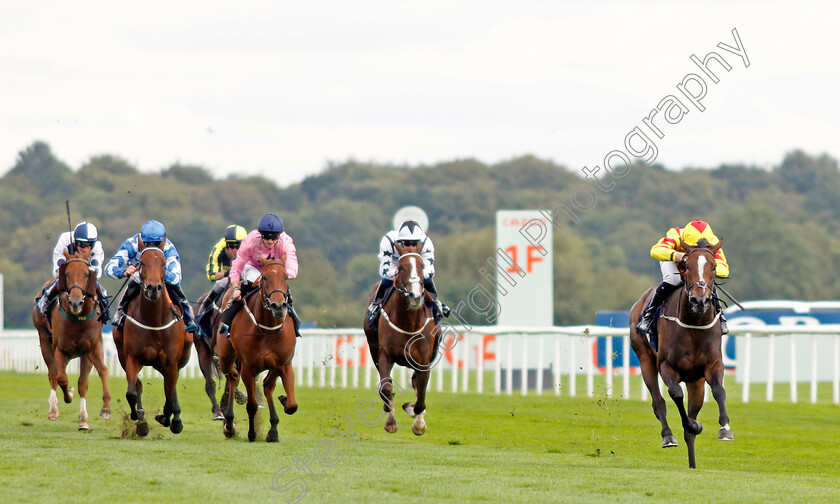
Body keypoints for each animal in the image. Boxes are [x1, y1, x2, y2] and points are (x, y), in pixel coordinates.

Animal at [32, 249, 110, 430]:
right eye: (67, 273)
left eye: (87, 274)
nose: (75, 302)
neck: (77, 319)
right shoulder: (60, 350)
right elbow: (62, 378)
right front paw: (68, 396)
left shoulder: (92, 348)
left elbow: (93, 376)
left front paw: (91, 416)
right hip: (45, 341)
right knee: (53, 374)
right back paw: (53, 410)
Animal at [113, 245, 192, 438]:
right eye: (141, 263)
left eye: (164, 263)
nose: (153, 288)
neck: (154, 320)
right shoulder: (132, 358)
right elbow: (132, 393)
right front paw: (139, 417)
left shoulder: (171, 362)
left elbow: (169, 395)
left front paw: (167, 418)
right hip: (123, 356)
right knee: (138, 386)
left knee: (172, 385)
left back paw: (176, 419)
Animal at [218, 256, 296, 440]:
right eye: (265, 277)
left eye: (286, 277)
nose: (278, 306)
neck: (268, 330)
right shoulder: (249, 368)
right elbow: (252, 405)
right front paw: (252, 433)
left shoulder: (284, 364)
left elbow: (292, 405)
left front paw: (283, 400)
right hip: (225, 357)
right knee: (232, 377)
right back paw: (229, 423)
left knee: (267, 386)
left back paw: (273, 427)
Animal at [362, 243, 436, 434]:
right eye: (401, 267)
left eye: (422, 266)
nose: (415, 296)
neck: (409, 323)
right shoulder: (384, 355)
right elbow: (386, 388)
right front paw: (390, 421)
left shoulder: (424, 361)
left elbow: (420, 397)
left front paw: (417, 422)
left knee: (417, 385)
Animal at [628, 240, 732, 468]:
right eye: (687, 266)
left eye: (713, 267)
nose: (700, 301)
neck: (694, 325)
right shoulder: (666, 366)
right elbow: (675, 394)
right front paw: (692, 425)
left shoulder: (713, 365)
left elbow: (719, 391)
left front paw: (725, 429)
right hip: (645, 359)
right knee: (658, 401)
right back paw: (668, 436)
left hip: (695, 381)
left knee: (691, 418)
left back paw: (693, 463)